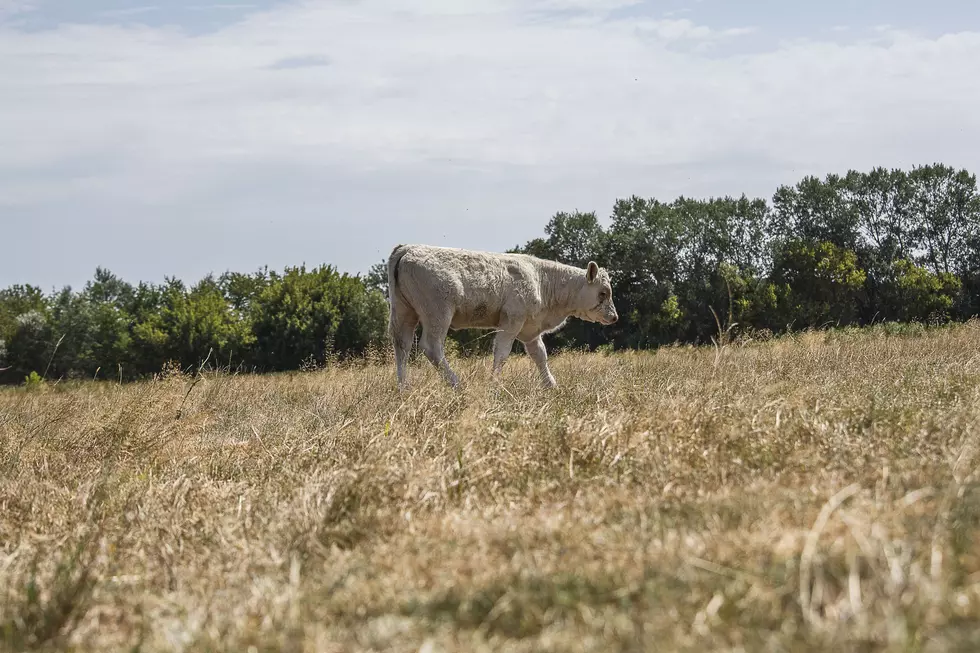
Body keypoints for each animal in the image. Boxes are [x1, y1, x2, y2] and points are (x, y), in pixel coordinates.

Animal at [384, 243, 620, 388]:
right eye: (603, 293)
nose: (614, 317)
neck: (541, 279)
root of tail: (408, 247)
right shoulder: (512, 321)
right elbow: (502, 353)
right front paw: (494, 383)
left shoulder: (530, 329)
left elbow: (540, 355)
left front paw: (551, 385)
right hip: (438, 314)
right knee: (432, 347)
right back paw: (457, 384)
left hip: (404, 312)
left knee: (402, 346)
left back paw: (403, 388)